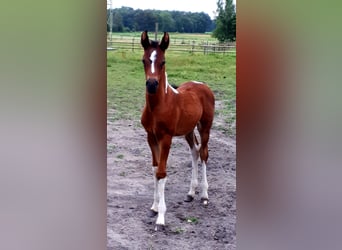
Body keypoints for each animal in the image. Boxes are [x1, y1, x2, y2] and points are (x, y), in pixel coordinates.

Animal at [139, 30, 214, 229]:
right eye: (144, 60)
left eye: (163, 61)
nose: (152, 84)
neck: (158, 106)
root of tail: (202, 84)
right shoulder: (150, 137)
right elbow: (155, 170)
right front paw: (154, 207)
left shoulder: (166, 138)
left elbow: (162, 172)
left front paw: (161, 218)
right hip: (188, 130)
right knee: (195, 152)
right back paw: (190, 193)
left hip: (205, 127)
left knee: (204, 153)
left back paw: (204, 195)